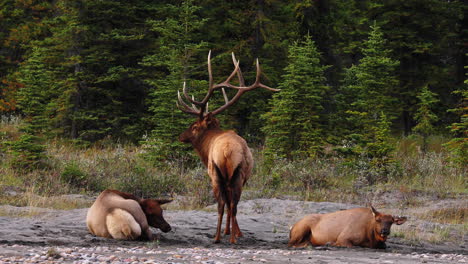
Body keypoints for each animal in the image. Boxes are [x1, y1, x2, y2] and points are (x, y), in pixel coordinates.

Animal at [176, 51, 278, 243]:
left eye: (194, 126)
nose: (181, 136)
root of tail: (226, 151)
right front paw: (234, 231)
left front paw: (230, 231)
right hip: (237, 175)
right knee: (232, 203)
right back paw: (229, 237)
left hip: (218, 174)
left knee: (223, 203)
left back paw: (218, 237)